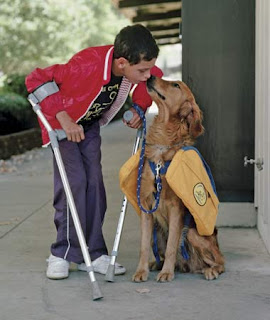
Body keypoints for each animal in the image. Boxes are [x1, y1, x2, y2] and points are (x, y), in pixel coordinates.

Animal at [132, 75, 225, 282]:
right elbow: (143, 246)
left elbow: (172, 245)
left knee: (219, 260)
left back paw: (210, 270)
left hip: (191, 233)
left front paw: (167, 273)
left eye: (175, 85)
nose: (150, 76)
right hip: (158, 231)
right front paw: (141, 271)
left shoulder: (176, 207)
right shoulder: (147, 205)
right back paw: (156, 264)